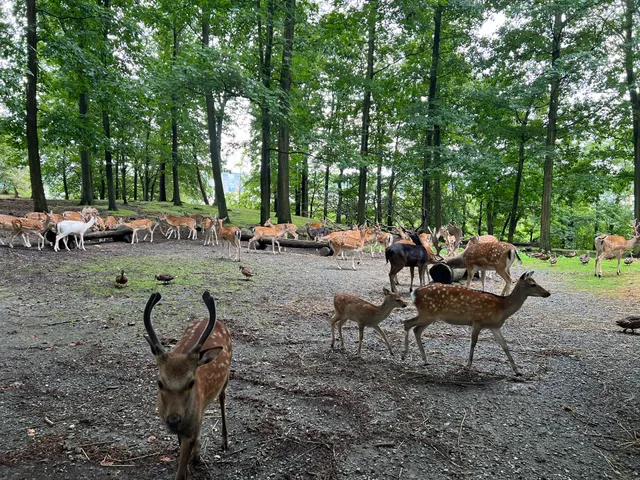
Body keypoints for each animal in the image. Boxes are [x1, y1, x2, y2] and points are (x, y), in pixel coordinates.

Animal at [143, 291, 232, 480]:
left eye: (191, 382)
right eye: (159, 382)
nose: (173, 419)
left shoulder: (188, 431)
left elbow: (181, 473)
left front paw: (189, 466)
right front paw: (193, 461)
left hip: (227, 376)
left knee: (222, 397)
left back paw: (224, 441)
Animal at [402, 271, 550, 376]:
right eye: (533, 284)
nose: (548, 293)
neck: (502, 308)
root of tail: (414, 294)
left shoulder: (494, 326)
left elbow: (505, 345)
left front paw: (517, 370)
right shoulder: (477, 321)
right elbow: (473, 342)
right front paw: (468, 366)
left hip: (430, 316)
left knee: (416, 329)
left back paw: (425, 360)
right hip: (427, 313)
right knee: (407, 323)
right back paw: (404, 355)